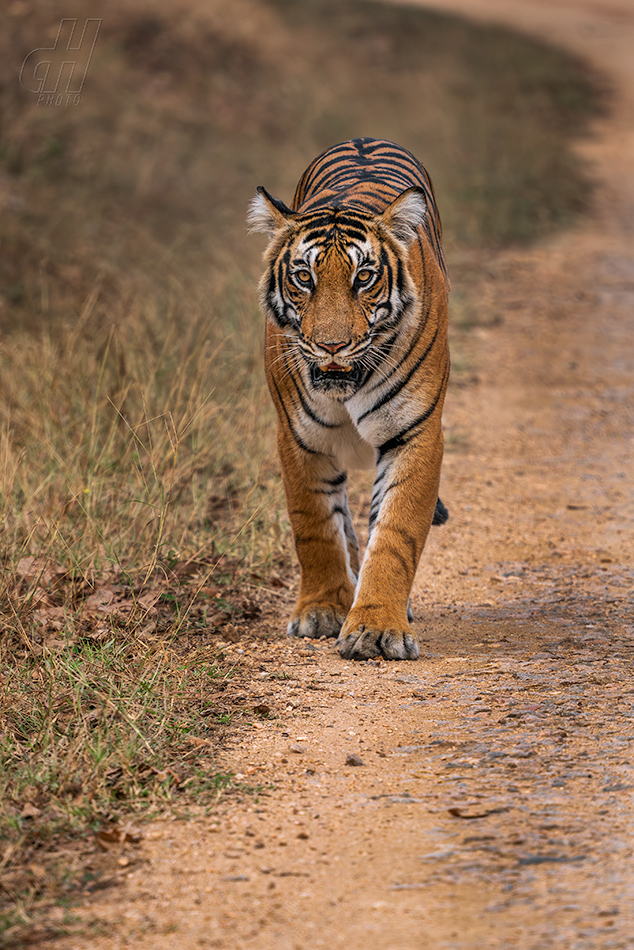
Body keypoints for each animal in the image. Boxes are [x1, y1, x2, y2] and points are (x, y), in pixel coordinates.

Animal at [248, 138, 450, 660]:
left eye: (364, 278)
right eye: (304, 277)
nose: (332, 345)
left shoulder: (414, 433)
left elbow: (396, 533)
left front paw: (376, 626)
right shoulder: (298, 437)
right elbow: (315, 526)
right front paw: (322, 610)